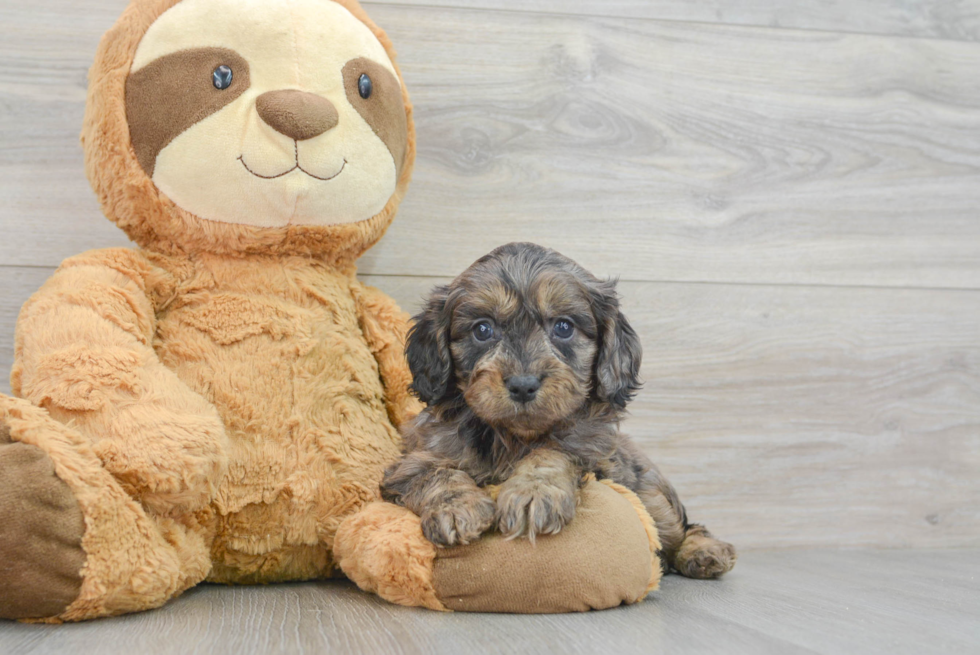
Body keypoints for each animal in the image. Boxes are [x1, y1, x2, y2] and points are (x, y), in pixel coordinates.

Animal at [382, 242, 736, 580]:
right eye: (482, 330)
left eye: (563, 327)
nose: (523, 385)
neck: (513, 438)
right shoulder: (410, 462)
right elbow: (435, 473)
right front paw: (457, 509)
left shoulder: (592, 454)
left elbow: (551, 453)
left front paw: (532, 493)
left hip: (649, 491)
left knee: (681, 527)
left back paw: (704, 552)